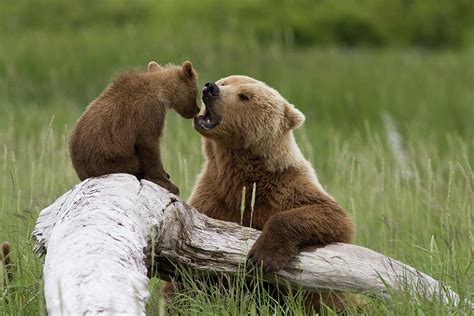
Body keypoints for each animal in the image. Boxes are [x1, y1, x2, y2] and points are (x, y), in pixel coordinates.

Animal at [191, 76, 354, 312]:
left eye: (245, 96)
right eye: (225, 82)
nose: (210, 88)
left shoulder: (288, 187)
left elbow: (332, 217)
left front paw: (262, 257)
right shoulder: (213, 197)